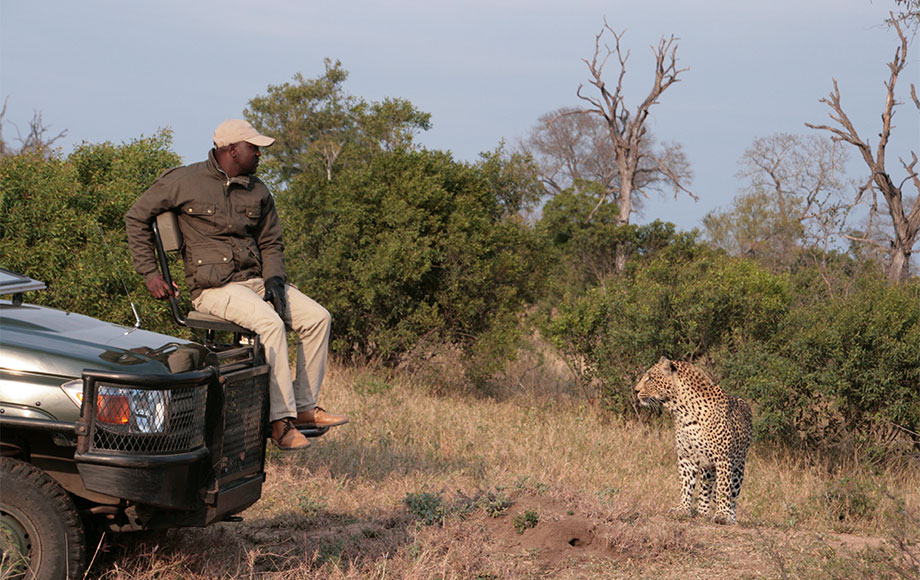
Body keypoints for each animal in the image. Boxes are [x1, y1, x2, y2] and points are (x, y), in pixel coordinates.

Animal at [636, 356, 752, 524]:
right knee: (705, 489)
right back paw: (702, 513)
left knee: (733, 494)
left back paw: (730, 516)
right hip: (707, 467)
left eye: (650, 378)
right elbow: (686, 484)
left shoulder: (723, 458)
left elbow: (724, 488)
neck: (683, 411)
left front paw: (722, 515)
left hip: (738, 466)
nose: (635, 390)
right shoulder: (686, 456)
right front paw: (683, 509)